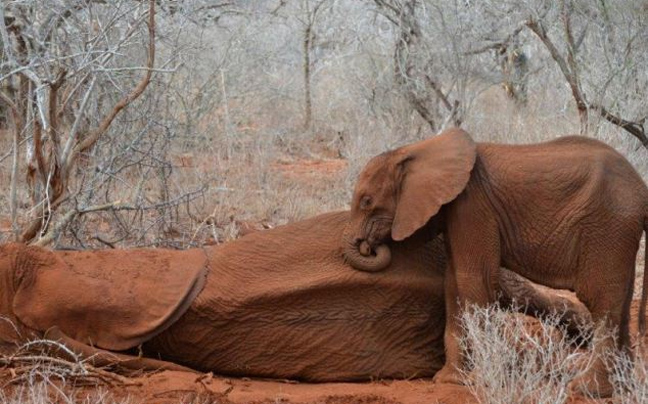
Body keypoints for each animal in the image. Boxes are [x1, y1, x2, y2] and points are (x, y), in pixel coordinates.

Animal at [344, 129, 648, 398]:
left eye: (367, 201)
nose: (367, 245)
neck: (417, 149)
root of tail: (643, 192)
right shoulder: (456, 212)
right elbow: (452, 284)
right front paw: (451, 380)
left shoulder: (472, 206)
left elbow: (473, 280)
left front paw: (479, 379)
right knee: (620, 301)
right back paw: (623, 386)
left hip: (608, 226)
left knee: (601, 299)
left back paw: (587, 390)